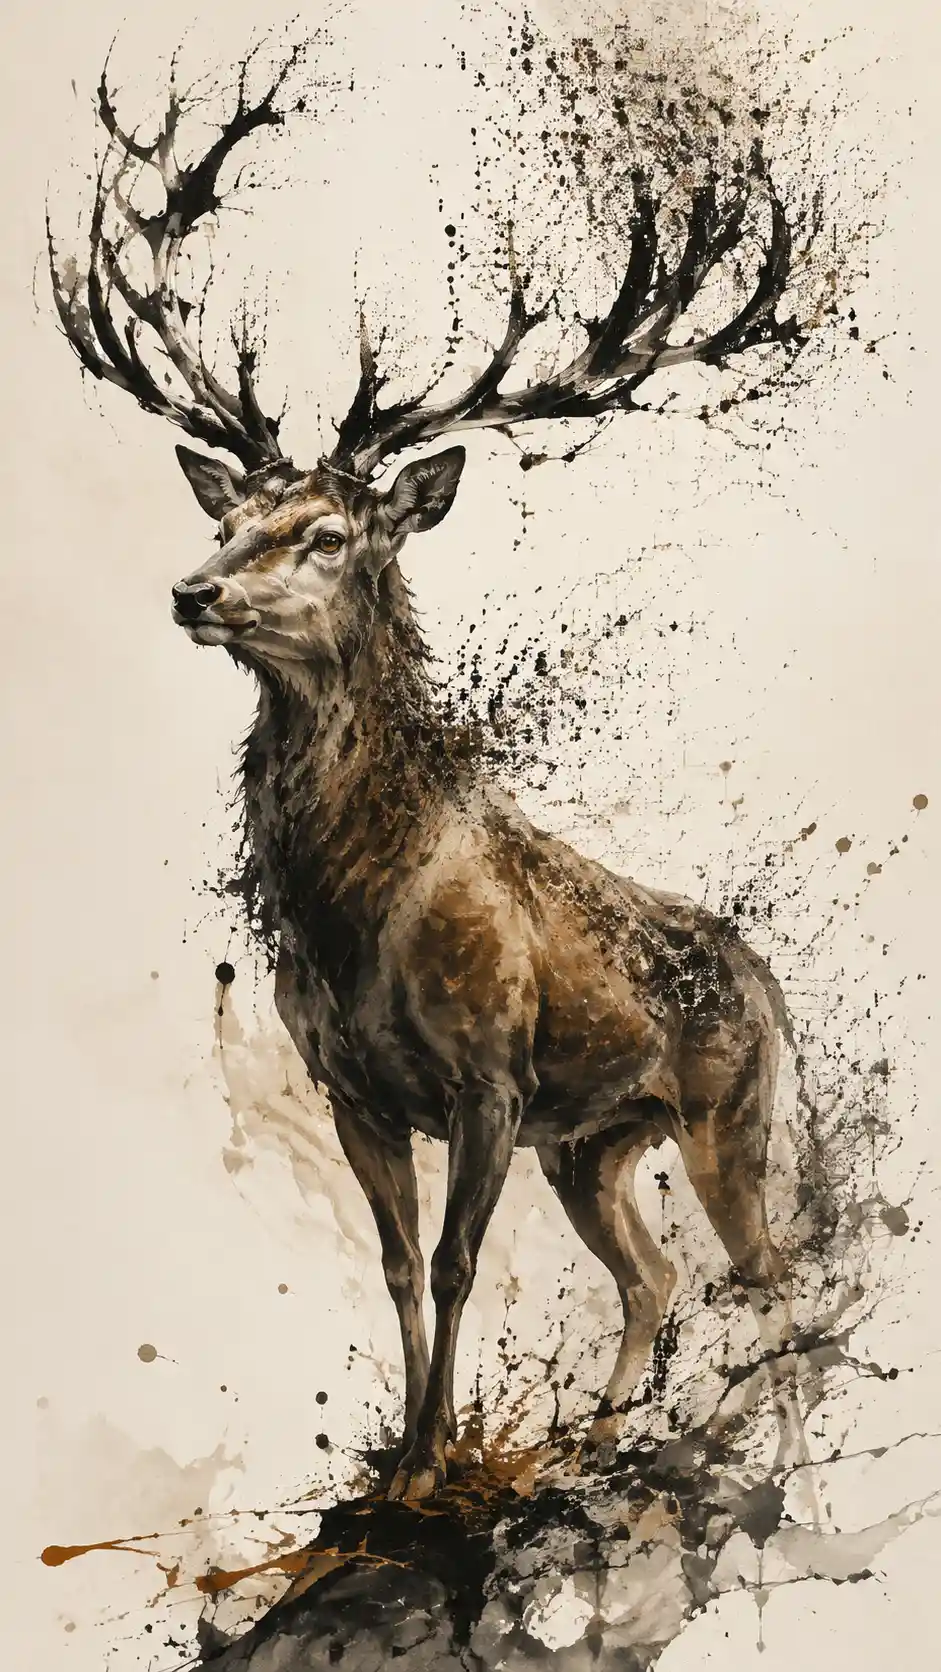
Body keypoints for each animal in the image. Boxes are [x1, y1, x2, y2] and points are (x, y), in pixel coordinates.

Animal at [49, 49, 807, 1502]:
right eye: (230, 516)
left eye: (326, 531)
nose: (189, 590)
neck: (357, 916)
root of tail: (770, 987)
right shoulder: (354, 1089)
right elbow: (396, 1268)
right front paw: (405, 1459)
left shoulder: (489, 1078)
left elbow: (456, 1267)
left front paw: (426, 1470)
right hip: (595, 1144)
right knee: (651, 1275)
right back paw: (594, 1441)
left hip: (720, 1111)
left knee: (767, 1271)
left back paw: (766, 1464)